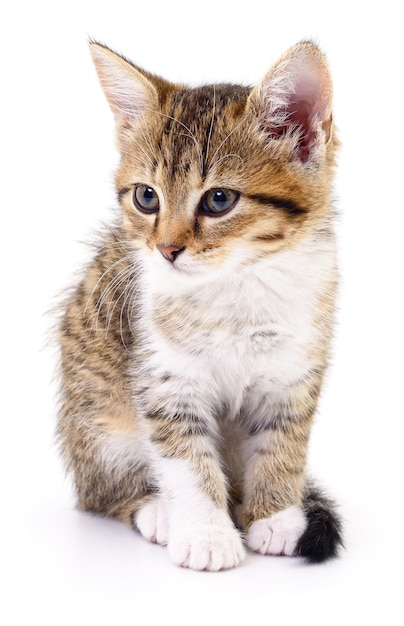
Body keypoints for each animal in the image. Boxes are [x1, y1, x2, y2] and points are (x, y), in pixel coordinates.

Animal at [58, 37, 344, 564]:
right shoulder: (164, 376)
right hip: (95, 418)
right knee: (101, 489)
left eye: (218, 200)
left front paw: (276, 516)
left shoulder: (295, 367)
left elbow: (284, 441)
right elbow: (185, 457)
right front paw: (206, 533)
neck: (235, 283)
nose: (167, 249)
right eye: (146, 197)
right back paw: (156, 510)